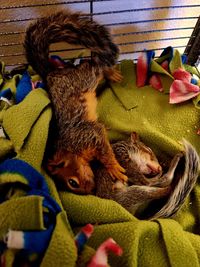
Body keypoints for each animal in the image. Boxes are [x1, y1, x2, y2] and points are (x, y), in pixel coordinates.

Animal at [23, 9, 126, 195]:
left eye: (72, 182)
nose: (90, 191)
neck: (71, 149)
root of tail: (51, 73)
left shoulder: (88, 136)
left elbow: (105, 152)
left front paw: (114, 167)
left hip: (84, 79)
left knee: (92, 65)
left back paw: (109, 72)